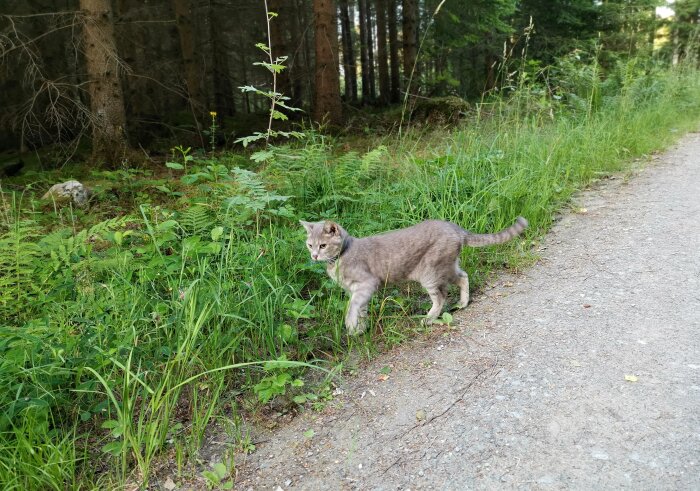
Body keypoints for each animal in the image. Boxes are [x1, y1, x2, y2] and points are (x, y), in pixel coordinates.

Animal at [300, 218, 524, 336]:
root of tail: (455, 227)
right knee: (463, 277)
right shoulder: (356, 291)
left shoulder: (366, 285)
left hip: (430, 273)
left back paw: (428, 319)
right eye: (310, 245)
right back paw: (462, 303)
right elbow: (360, 310)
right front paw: (360, 330)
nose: (314, 255)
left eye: (323, 245)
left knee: (440, 296)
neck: (342, 256)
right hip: (448, 267)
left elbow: (351, 308)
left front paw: (350, 326)